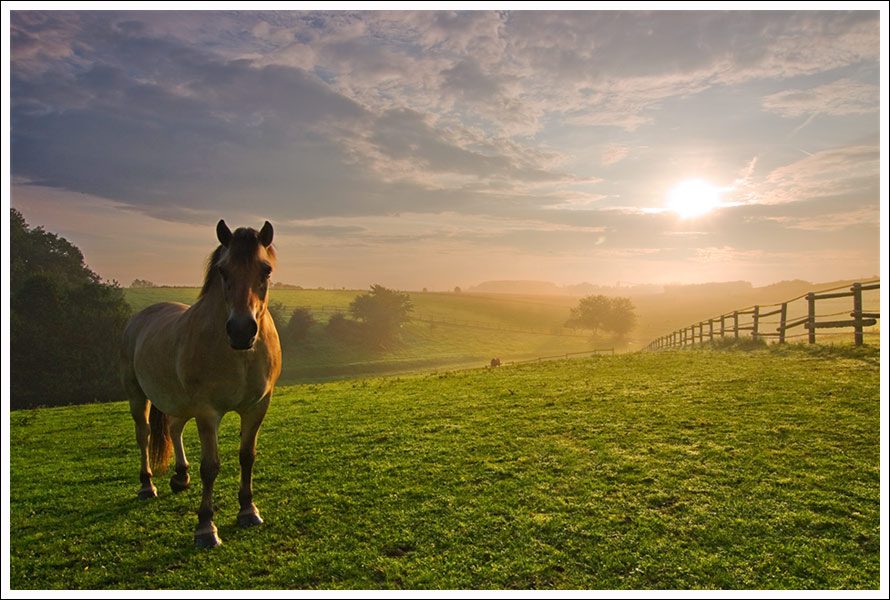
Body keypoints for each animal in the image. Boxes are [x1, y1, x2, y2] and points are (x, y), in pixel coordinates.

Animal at [119, 220, 280, 548]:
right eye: (223, 271)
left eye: (266, 270)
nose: (241, 330)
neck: (240, 355)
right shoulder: (207, 412)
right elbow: (211, 466)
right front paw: (206, 526)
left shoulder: (257, 407)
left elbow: (247, 457)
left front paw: (248, 510)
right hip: (137, 396)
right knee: (143, 435)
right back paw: (146, 486)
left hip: (179, 402)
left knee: (173, 427)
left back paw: (181, 476)